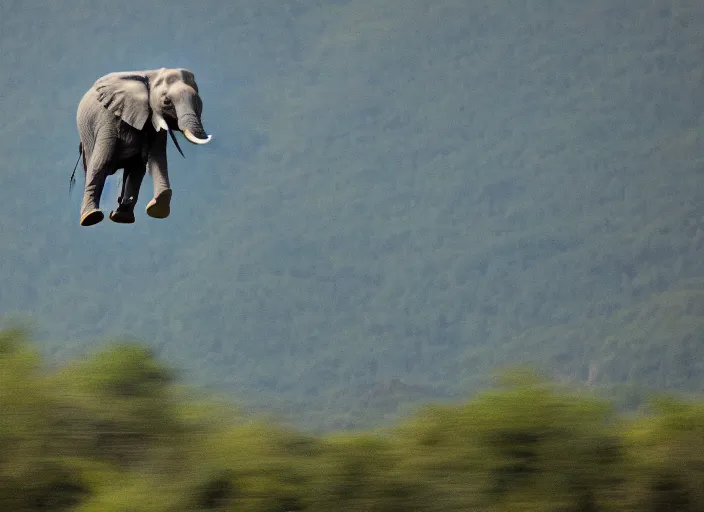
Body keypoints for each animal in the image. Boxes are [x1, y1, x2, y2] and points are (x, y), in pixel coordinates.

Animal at [75, 67, 212, 226]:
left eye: (199, 102)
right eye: (166, 102)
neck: (150, 76)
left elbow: (157, 158)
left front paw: (158, 208)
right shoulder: (108, 118)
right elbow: (101, 163)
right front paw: (91, 217)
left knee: (137, 168)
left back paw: (121, 217)